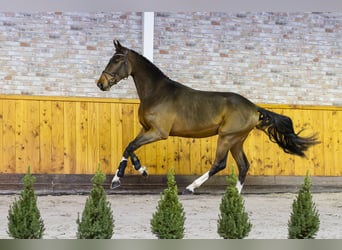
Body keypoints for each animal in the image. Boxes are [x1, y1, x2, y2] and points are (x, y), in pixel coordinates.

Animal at [95, 40, 318, 194]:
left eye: (117, 59)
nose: (101, 83)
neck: (156, 92)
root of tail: (254, 108)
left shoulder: (158, 132)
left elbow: (130, 146)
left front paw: (116, 181)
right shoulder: (146, 129)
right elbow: (131, 146)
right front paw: (142, 170)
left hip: (227, 137)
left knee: (220, 164)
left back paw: (191, 188)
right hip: (237, 140)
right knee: (243, 165)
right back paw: (234, 195)